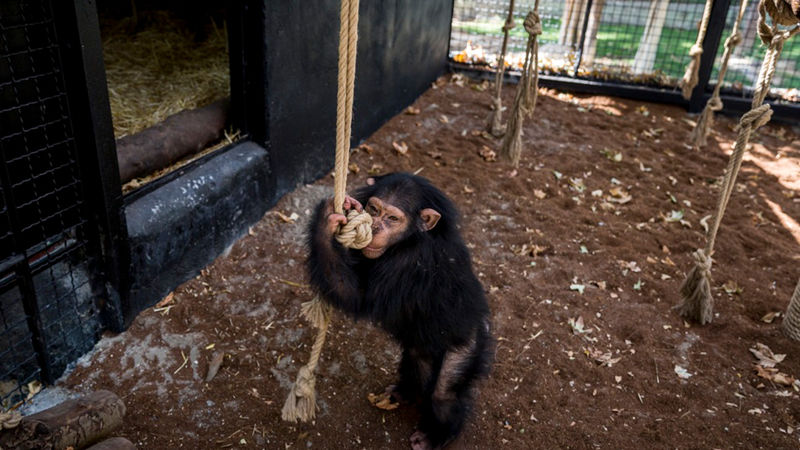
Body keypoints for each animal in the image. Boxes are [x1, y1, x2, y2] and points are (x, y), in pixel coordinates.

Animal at [308, 173, 490, 450]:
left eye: (392, 219)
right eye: (374, 209)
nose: (374, 227)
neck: (409, 239)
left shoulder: (409, 262)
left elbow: (357, 297)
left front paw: (325, 221)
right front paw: (340, 209)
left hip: (469, 343)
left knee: (444, 394)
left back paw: (436, 435)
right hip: (421, 346)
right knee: (418, 366)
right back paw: (403, 393)